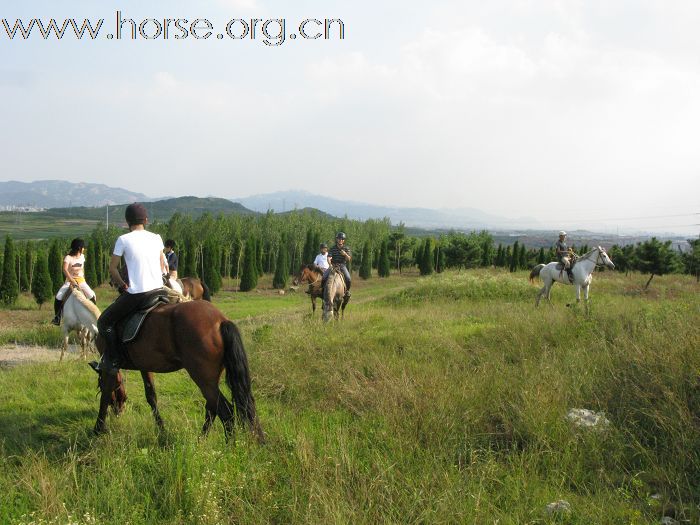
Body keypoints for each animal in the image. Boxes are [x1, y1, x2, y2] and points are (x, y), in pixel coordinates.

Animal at [94, 296, 264, 440]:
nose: (118, 412)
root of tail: (220, 320)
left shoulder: (109, 367)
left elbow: (105, 395)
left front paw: (98, 430)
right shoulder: (145, 366)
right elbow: (151, 396)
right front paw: (161, 430)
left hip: (203, 379)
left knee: (225, 412)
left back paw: (231, 448)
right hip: (210, 380)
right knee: (213, 409)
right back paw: (201, 440)